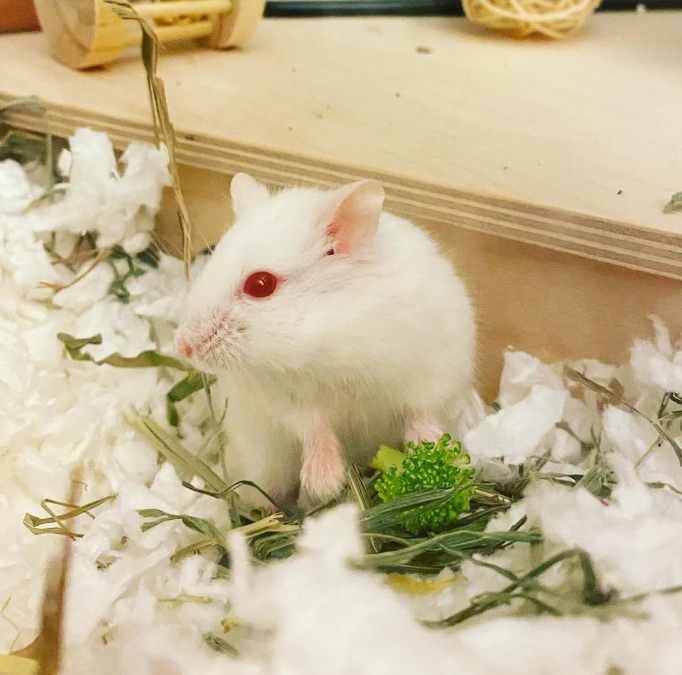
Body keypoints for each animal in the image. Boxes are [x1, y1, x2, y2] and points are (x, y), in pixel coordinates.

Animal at [174, 174, 476, 509]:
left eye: (261, 284)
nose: (181, 346)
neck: (327, 342)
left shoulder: (436, 370)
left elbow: (421, 412)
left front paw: (430, 451)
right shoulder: (288, 400)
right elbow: (314, 428)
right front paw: (324, 484)